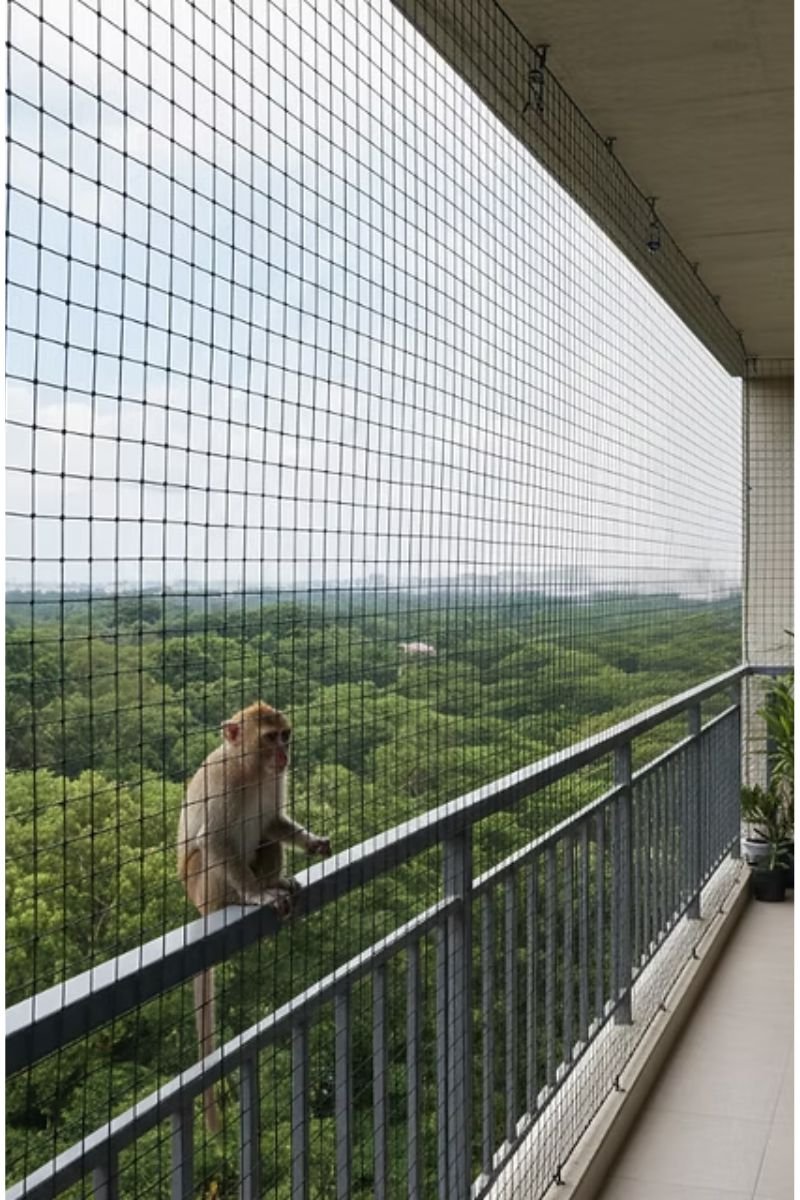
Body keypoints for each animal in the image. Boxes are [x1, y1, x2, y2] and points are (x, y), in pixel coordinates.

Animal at [177, 701, 331, 1133]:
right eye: (269, 738)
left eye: (285, 735)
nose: (284, 754)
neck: (250, 770)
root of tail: (200, 909)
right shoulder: (221, 782)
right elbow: (212, 839)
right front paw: (254, 895)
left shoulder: (273, 782)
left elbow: (272, 823)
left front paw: (310, 842)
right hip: (203, 887)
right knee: (208, 854)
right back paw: (248, 896)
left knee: (264, 836)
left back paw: (277, 881)